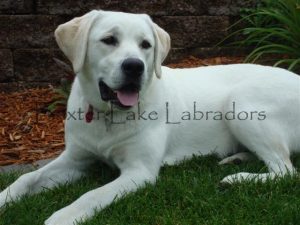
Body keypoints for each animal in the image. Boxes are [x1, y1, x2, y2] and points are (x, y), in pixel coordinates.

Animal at [0, 9, 300, 224]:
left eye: (145, 44)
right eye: (109, 40)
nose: (134, 66)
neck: (109, 117)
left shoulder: (139, 171)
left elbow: (92, 194)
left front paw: (63, 216)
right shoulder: (75, 160)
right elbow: (26, 179)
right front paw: (5, 199)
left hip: (240, 104)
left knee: (286, 172)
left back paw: (237, 178)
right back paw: (235, 158)